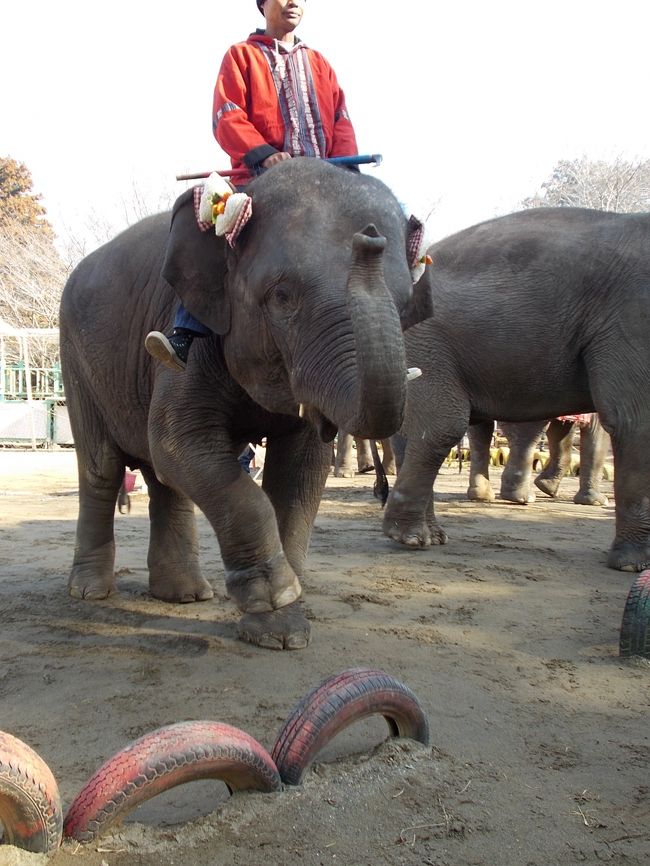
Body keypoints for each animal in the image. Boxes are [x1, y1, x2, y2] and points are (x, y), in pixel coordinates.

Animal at [60, 157, 430, 648]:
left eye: (406, 305)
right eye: (281, 297)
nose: (370, 238)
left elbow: (301, 468)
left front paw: (283, 627)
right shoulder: (191, 337)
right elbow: (179, 442)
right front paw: (276, 604)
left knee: (164, 478)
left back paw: (185, 595)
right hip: (75, 359)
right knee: (102, 468)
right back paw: (89, 593)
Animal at [466, 414, 608, 502]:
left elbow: (560, 431)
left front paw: (547, 487)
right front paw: (597, 501)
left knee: (479, 429)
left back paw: (482, 496)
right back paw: (522, 497)